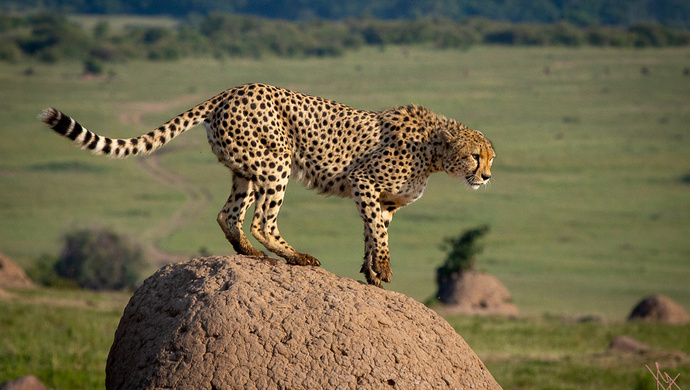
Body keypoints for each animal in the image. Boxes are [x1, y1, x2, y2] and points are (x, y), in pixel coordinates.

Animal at [39, 84, 490, 286]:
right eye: (475, 156)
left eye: (491, 157)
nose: (486, 176)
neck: (435, 151)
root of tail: (230, 90)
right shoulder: (364, 183)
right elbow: (378, 234)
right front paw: (382, 269)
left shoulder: (384, 201)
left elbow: (372, 232)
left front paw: (372, 273)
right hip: (277, 163)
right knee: (262, 221)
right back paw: (296, 257)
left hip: (246, 170)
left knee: (228, 215)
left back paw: (250, 254)